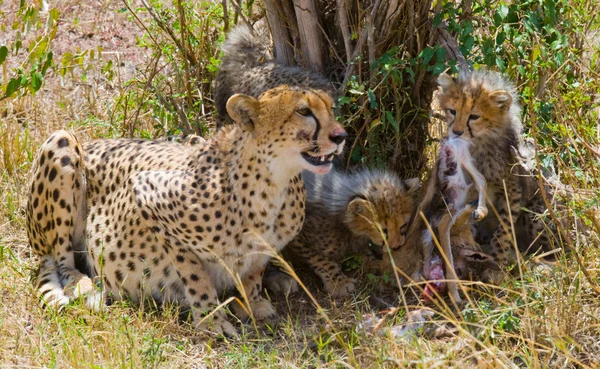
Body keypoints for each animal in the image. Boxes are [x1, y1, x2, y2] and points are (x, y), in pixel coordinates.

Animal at [25, 86, 346, 334]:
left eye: (330, 108)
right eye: (304, 111)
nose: (341, 136)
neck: (272, 181)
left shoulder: (264, 245)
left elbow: (253, 269)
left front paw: (252, 301)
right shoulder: (146, 194)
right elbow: (194, 273)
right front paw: (211, 318)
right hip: (61, 141)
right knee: (57, 260)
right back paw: (82, 285)